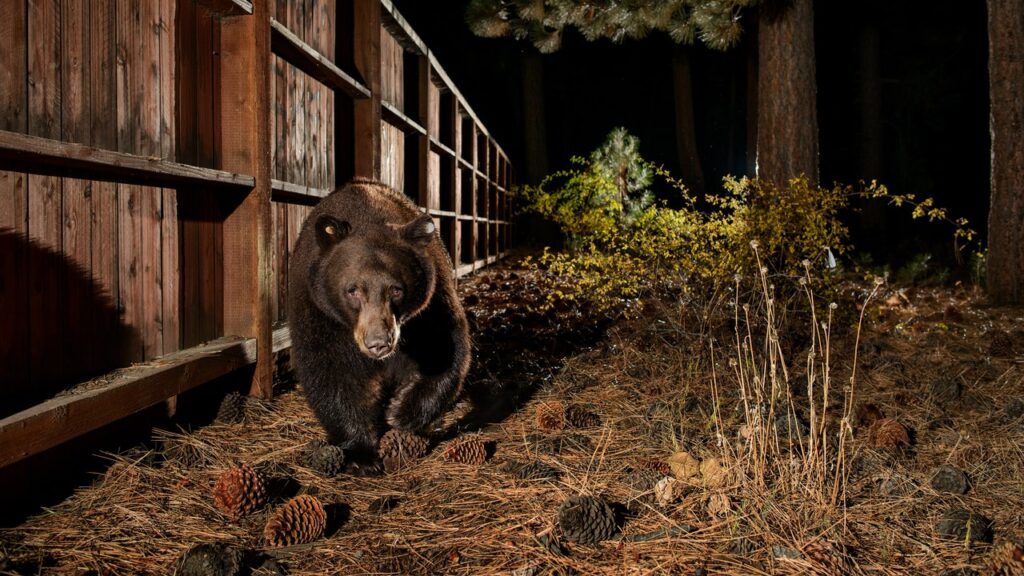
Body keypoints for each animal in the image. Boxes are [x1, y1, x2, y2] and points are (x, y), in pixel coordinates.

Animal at [288, 179, 471, 471]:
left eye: (396, 289)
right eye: (352, 290)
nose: (378, 342)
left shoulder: (429, 307)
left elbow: (445, 349)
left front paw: (400, 412)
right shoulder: (318, 310)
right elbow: (329, 371)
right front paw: (362, 454)